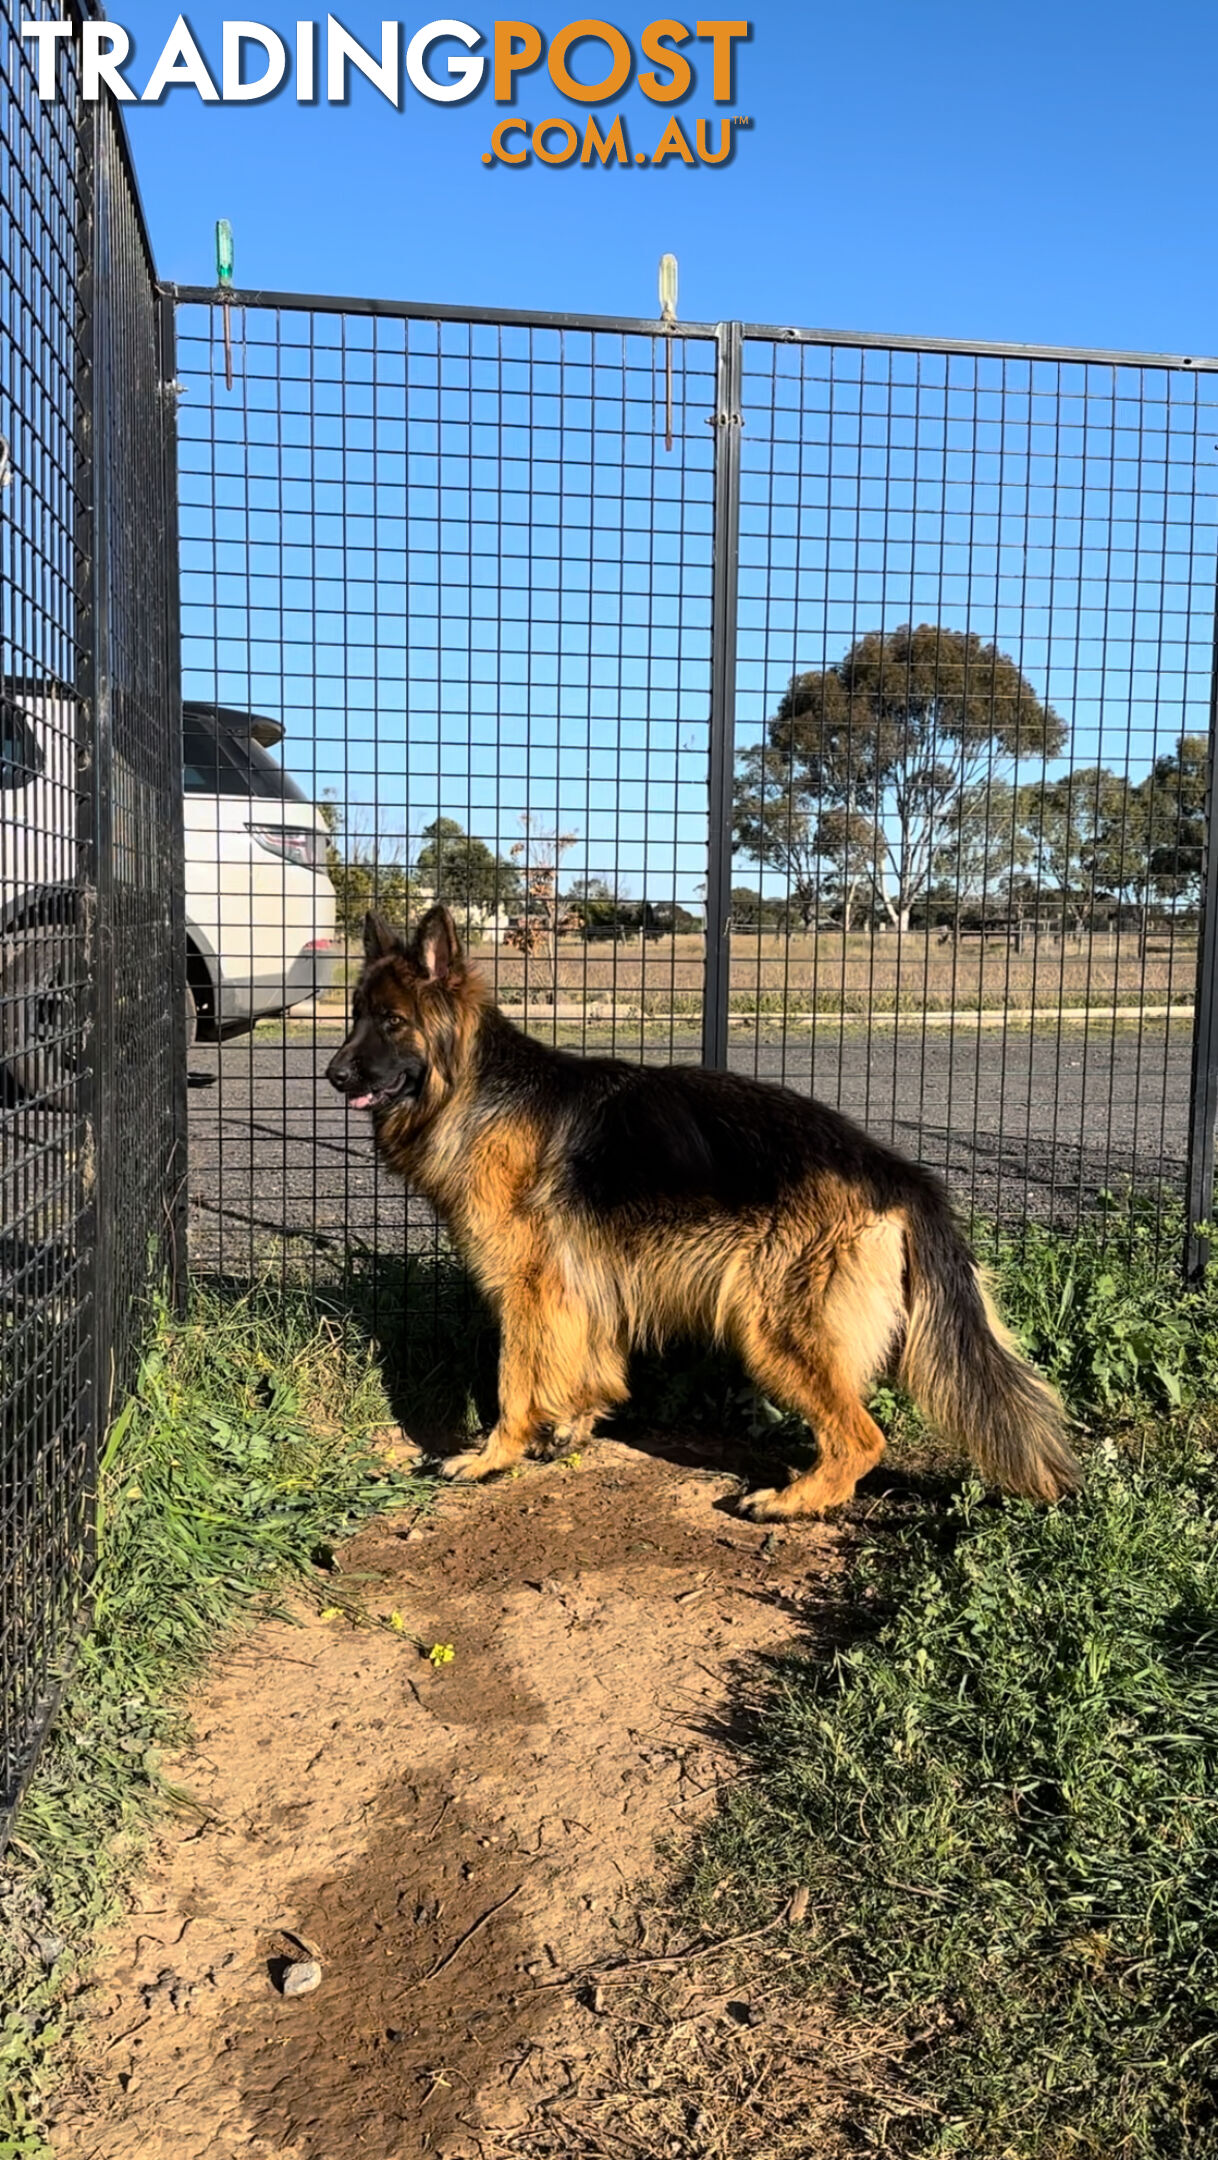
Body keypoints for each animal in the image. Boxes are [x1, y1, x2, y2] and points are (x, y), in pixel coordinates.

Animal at [328, 907, 1079, 1520]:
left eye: (392, 1021)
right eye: (354, 1015)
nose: (333, 1075)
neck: (476, 1089)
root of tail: (899, 1173)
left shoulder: (526, 1289)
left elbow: (515, 1381)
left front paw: (491, 1456)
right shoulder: (583, 1284)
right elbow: (588, 1365)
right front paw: (573, 1425)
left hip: (772, 1328)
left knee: (862, 1439)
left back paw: (793, 1501)